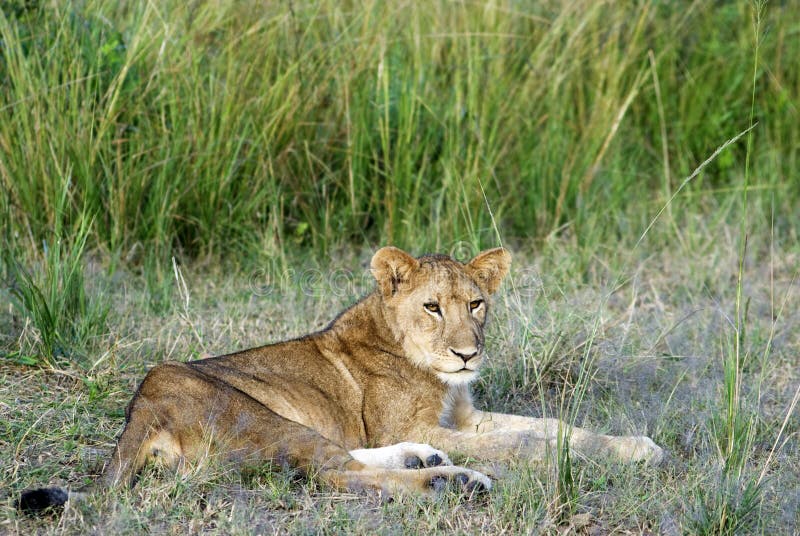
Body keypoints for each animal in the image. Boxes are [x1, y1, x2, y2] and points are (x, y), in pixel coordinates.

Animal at [19, 246, 662, 511]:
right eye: (433, 307)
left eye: (476, 303)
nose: (467, 355)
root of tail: (140, 404)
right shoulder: (419, 422)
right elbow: (526, 440)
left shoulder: (463, 416)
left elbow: (552, 424)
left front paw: (636, 447)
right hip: (262, 416)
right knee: (333, 472)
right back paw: (453, 482)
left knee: (344, 460)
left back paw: (427, 461)